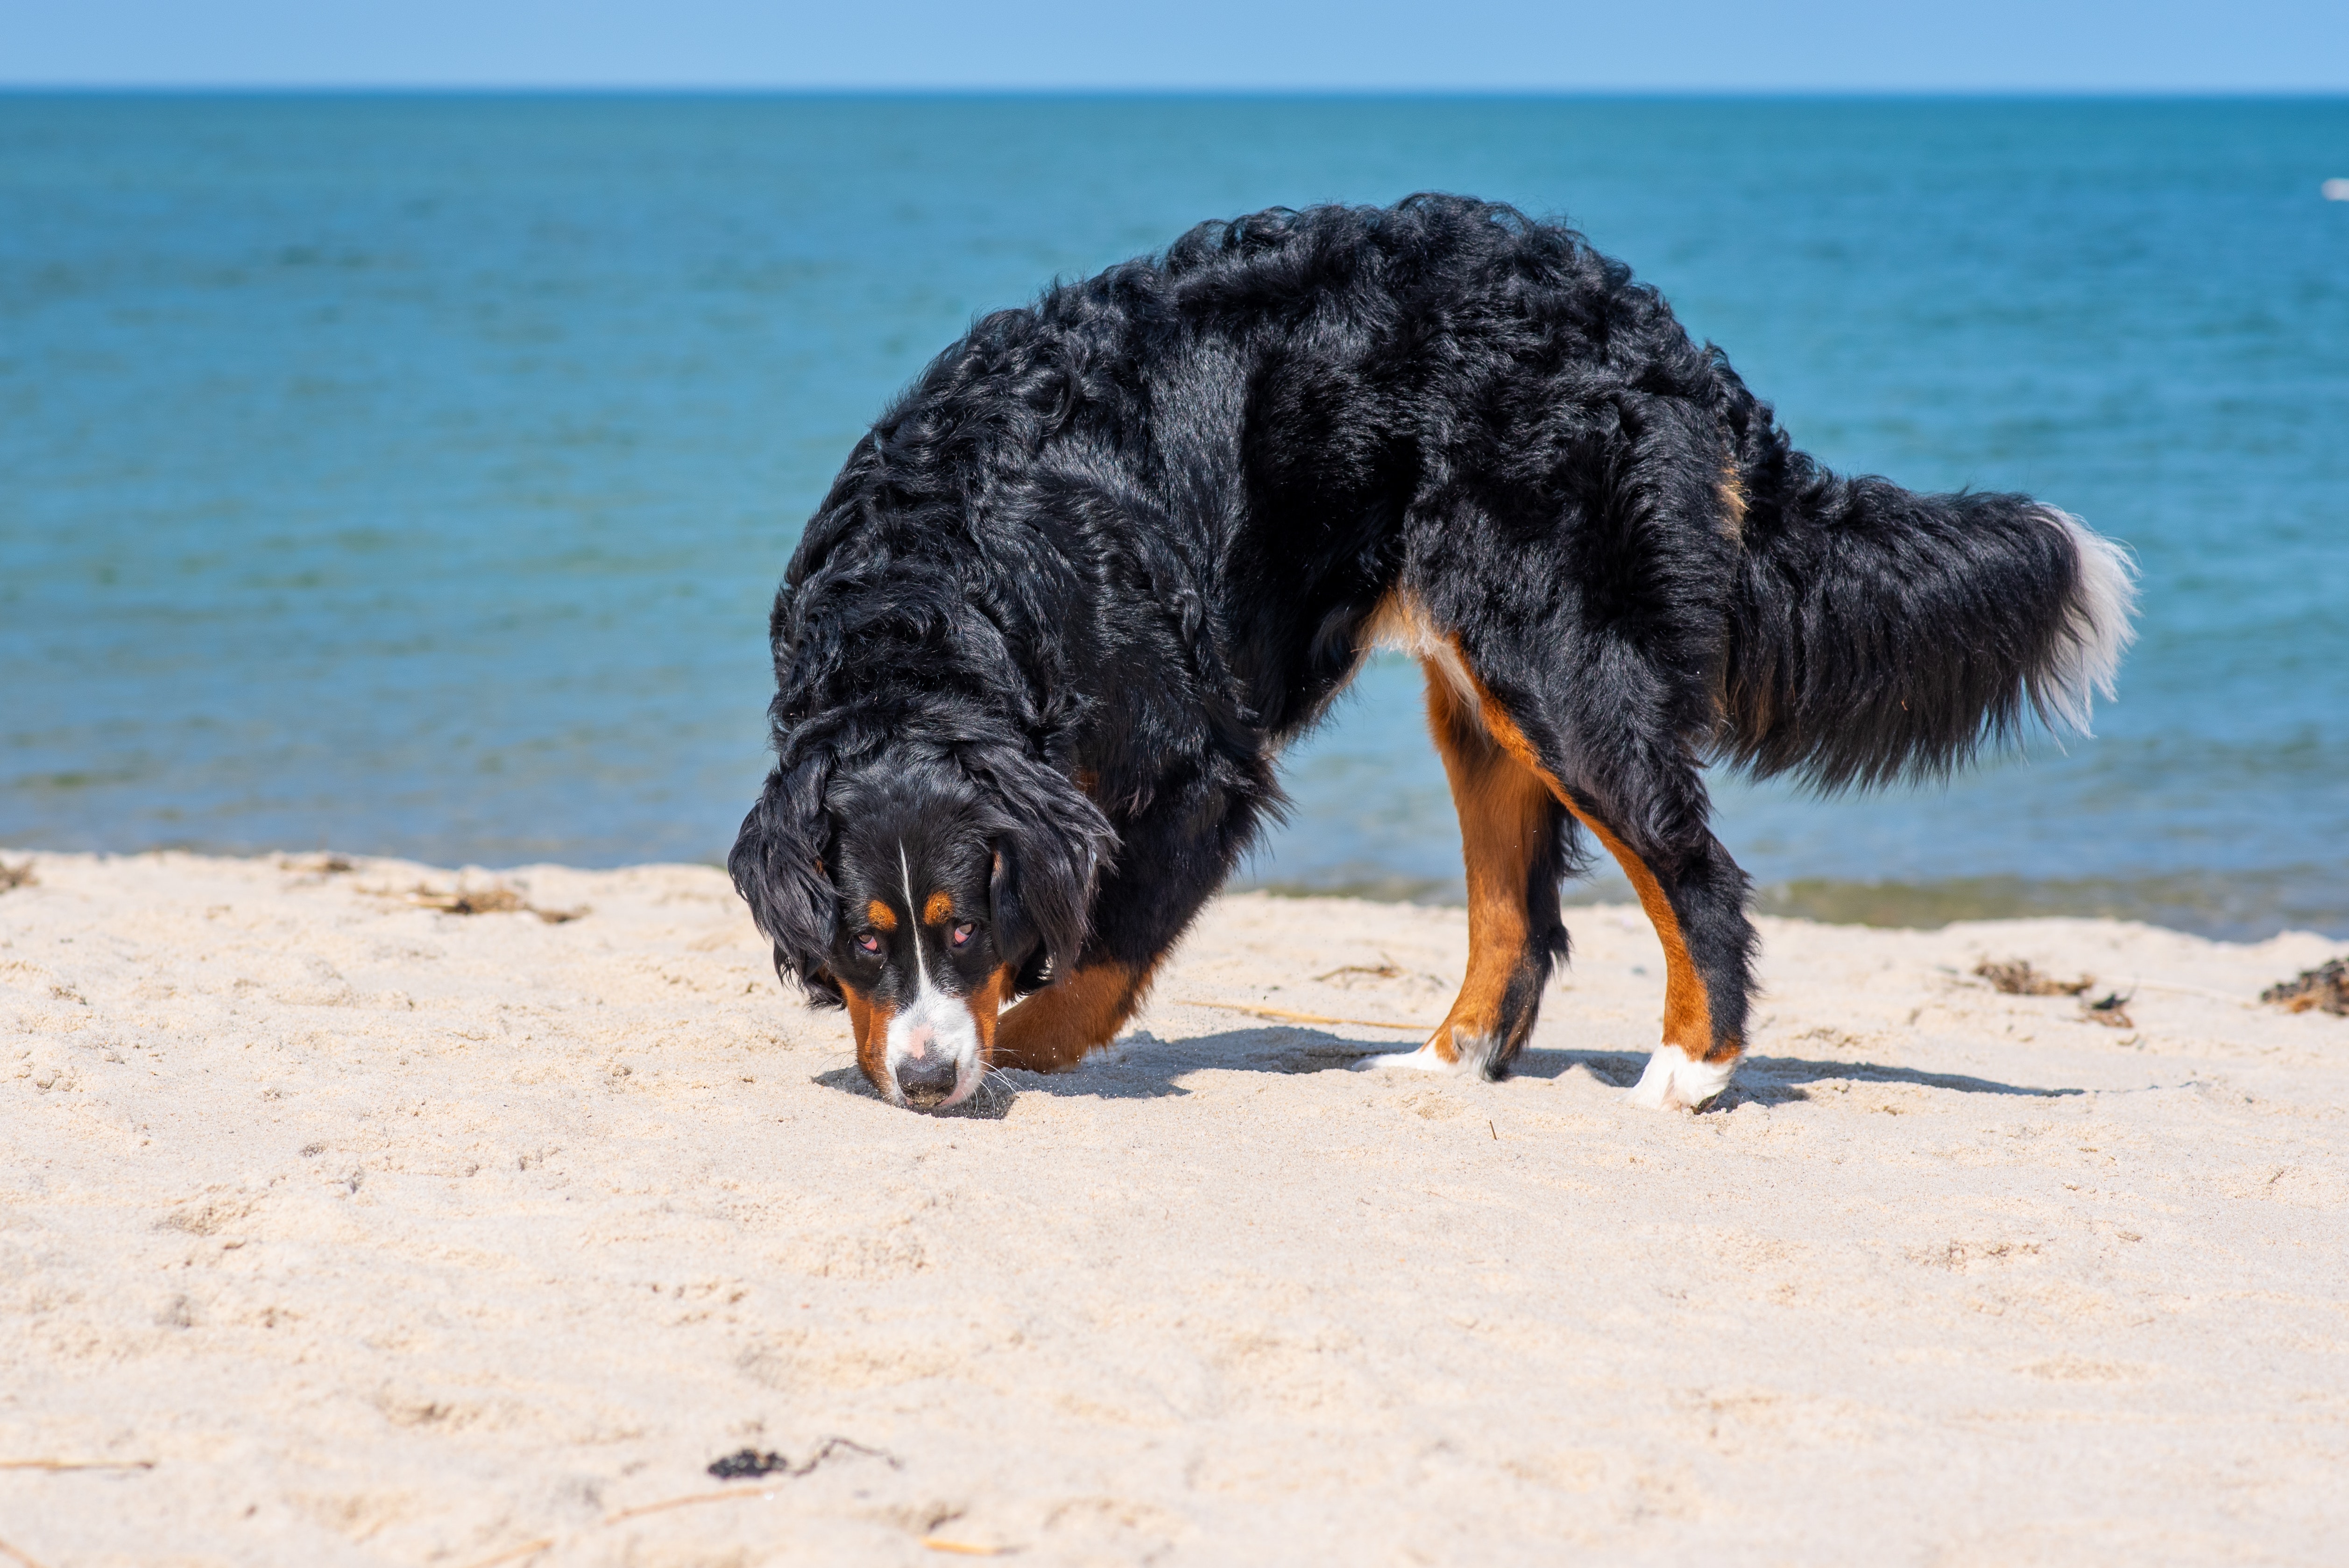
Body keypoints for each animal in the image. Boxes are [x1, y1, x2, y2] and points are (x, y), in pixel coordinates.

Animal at [723, 196, 2142, 1112]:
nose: (922, 1080)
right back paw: (1441, 1062)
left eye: (957, 929)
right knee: (1515, 916)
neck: (936, 595)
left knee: (1695, 875)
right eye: (862, 938)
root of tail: (1653, 333)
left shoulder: (1196, 763)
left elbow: (1105, 944)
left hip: (1560, 670)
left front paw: (1016, 1039)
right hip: (1484, 695)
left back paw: (1689, 1069)